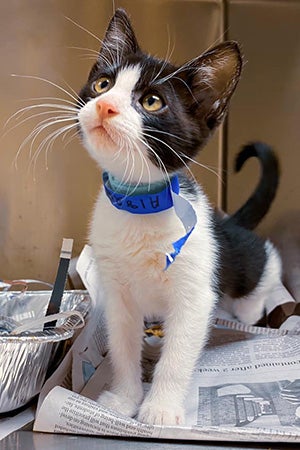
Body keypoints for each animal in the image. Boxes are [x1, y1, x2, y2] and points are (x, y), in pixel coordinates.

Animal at [77, 9, 278, 426]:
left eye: (152, 101)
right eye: (103, 84)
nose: (105, 106)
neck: (140, 205)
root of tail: (228, 221)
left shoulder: (195, 294)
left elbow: (177, 356)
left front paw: (161, 408)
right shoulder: (118, 295)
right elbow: (122, 346)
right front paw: (123, 399)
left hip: (239, 263)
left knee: (265, 263)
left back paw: (253, 304)